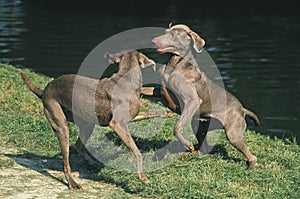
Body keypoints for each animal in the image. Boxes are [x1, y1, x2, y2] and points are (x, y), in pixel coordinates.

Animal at [20, 50, 157, 190]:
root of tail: (44, 90)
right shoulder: (117, 124)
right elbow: (137, 152)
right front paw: (143, 178)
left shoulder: (131, 117)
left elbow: (149, 114)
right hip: (60, 123)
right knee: (66, 162)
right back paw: (73, 183)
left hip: (86, 122)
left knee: (78, 145)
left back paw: (92, 163)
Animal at [152, 24, 260, 169]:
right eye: (166, 32)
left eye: (173, 35)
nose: (153, 41)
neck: (176, 63)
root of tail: (242, 109)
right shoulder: (160, 90)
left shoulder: (192, 101)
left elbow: (177, 127)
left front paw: (187, 144)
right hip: (199, 123)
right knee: (203, 146)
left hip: (233, 132)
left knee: (250, 155)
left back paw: (250, 167)